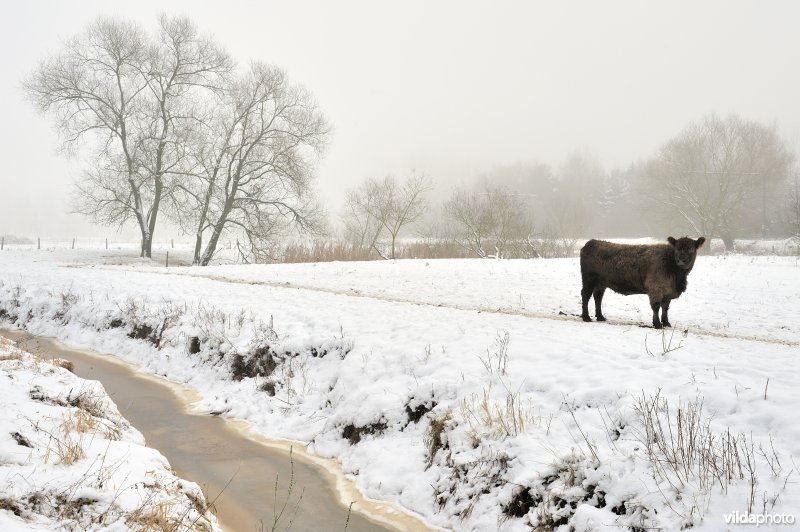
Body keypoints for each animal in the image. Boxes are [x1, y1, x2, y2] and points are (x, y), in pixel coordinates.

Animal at [580, 237, 708, 328]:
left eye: (691, 250)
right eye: (677, 249)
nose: (681, 262)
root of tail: (592, 242)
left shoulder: (667, 293)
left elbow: (665, 308)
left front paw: (666, 323)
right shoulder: (655, 288)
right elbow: (656, 307)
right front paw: (657, 324)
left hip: (601, 284)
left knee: (598, 298)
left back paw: (600, 317)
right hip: (588, 280)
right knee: (585, 296)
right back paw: (586, 317)